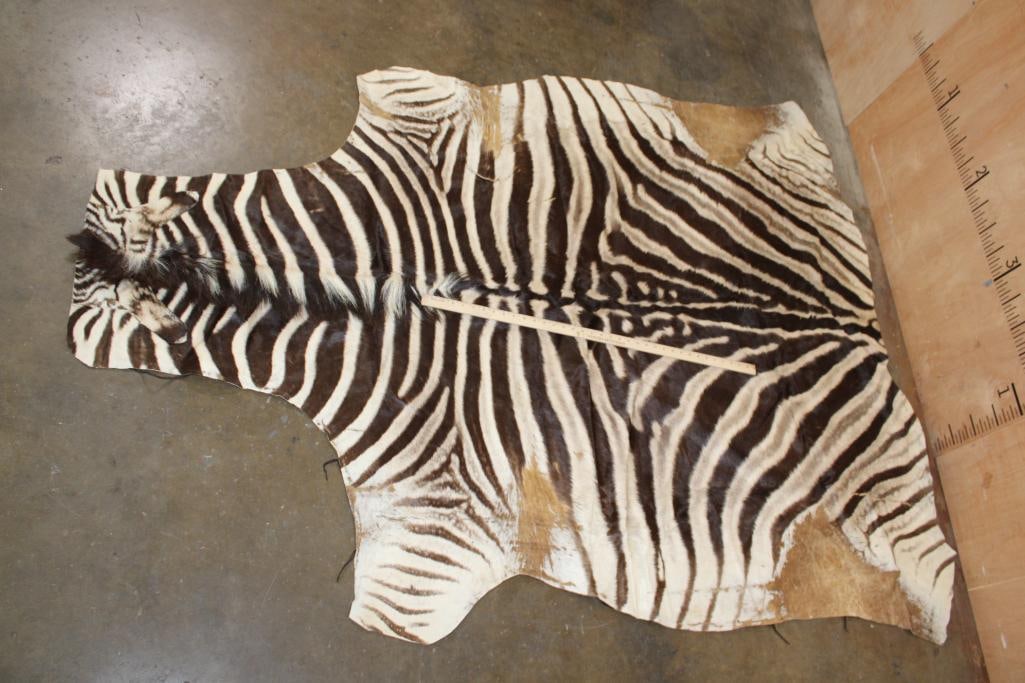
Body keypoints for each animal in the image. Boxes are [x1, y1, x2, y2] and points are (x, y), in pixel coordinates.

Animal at [67, 67, 956, 644]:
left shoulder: (430, 522)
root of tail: (862, 319)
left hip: (878, 528)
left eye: (90, 318)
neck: (367, 282)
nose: (68, 256)